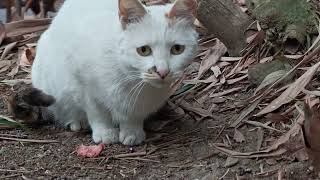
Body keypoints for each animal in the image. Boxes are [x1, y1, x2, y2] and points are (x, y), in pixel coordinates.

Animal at [31, 0, 198, 145]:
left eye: (177, 49)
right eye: (143, 50)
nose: (163, 71)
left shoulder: (137, 104)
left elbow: (133, 116)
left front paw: (132, 132)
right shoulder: (81, 84)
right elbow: (96, 112)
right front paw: (105, 133)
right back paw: (76, 121)